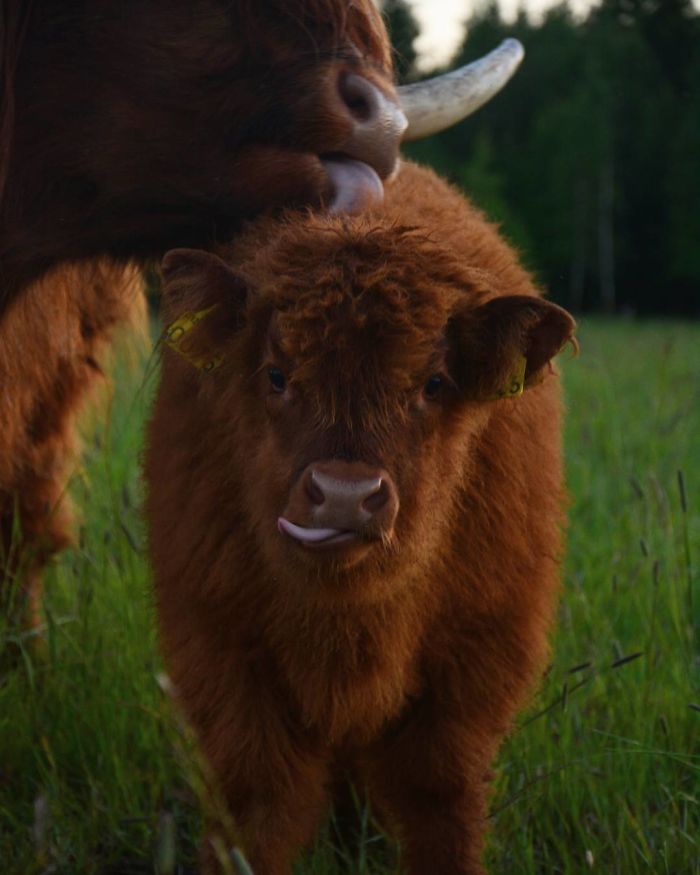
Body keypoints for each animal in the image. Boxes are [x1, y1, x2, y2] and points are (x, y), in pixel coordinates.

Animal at [145, 160, 577, 874]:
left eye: (433, 383)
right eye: (276, 374)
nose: (345, 495)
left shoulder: (475, 660)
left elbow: (440, 800)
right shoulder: (223, 649)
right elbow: (259, 804)